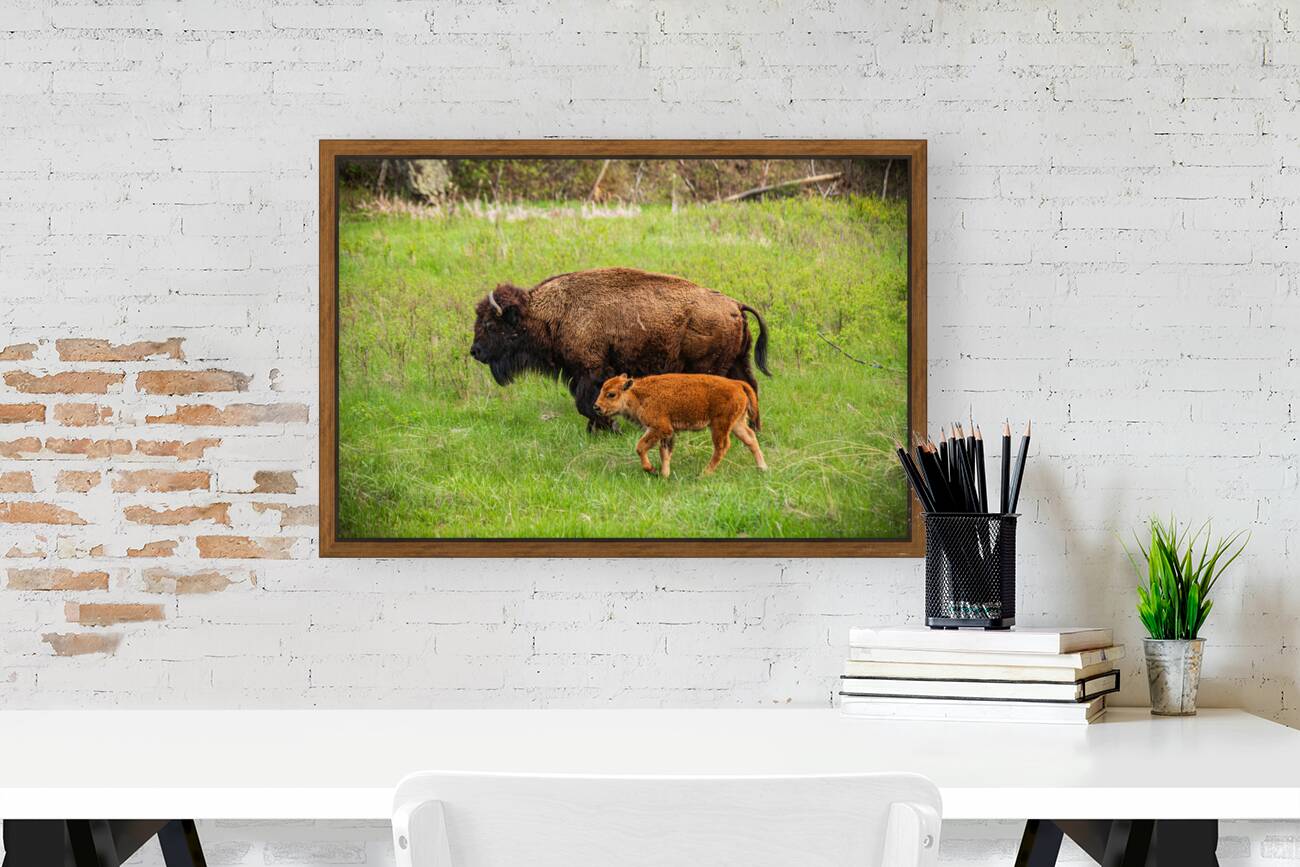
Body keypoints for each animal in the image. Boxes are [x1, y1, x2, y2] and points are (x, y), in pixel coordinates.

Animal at [469, 267, 770, 432]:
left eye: (490, 323)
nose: (475, 351)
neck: (554, 312)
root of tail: (735, 305)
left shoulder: (591, 371)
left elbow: (587, 404)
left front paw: (609, 428)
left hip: (711, 367)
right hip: (738, 361)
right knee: (751, 388)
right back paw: (754, 429)